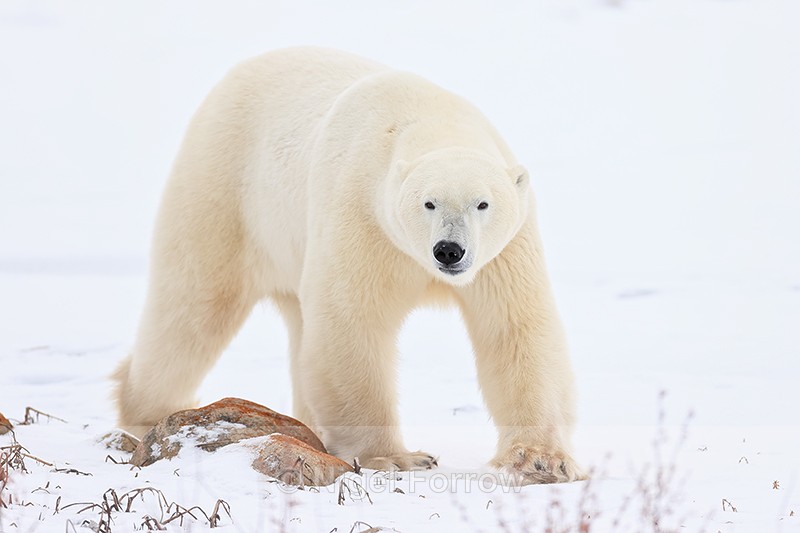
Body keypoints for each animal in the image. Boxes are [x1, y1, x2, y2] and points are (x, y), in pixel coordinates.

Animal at [114, 47, 584, 484]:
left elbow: (515, 329)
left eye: (482, 203)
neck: (430, 117)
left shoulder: (505, 252)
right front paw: (397, 458)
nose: (448, 250)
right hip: (226, 187)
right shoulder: (363, 214)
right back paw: (147, 412)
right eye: (428, 202)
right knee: (194, 305)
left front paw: (542, 460)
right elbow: (352, 323)